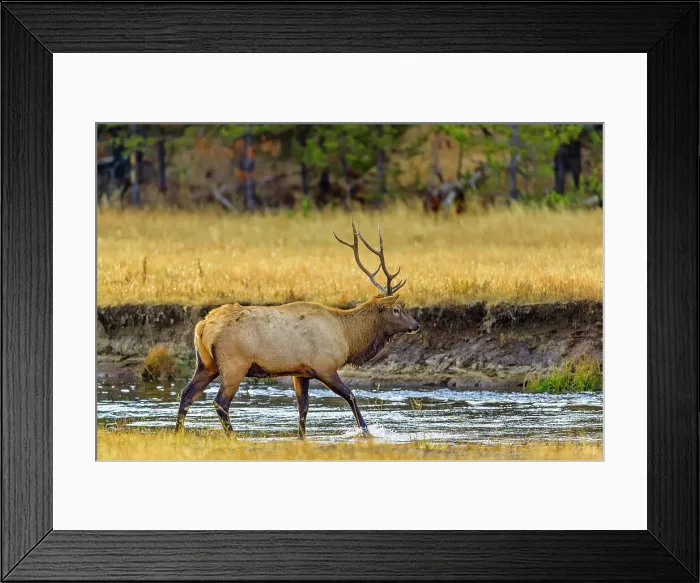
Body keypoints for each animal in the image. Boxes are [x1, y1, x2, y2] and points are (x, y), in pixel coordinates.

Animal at [174, 221, 420, 438]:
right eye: (397, 309)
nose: (416, 324)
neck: (347, 337)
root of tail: (202, 326)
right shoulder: (324, 366)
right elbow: (351, 396)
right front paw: (366, 431)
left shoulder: (301, 372)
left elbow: (303, 408)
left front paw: (301, 436)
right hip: (235, 364)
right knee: (220, 402)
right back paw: (232, 436)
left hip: (206, 364)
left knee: (186, 394)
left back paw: (177, 432)